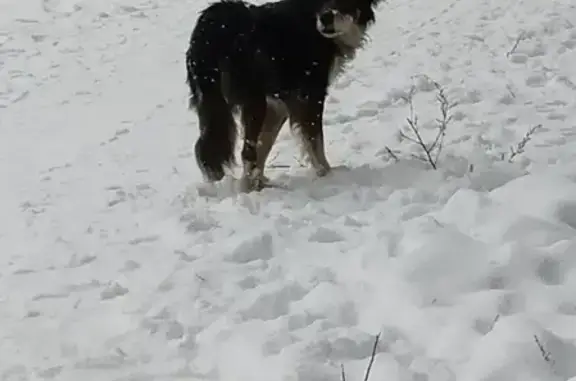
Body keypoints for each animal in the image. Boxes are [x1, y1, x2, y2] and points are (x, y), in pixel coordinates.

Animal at [186, 0, 382, 191]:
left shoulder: (278, 103)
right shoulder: (310, 96)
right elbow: (315, 140)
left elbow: (265, 144)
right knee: (245, 151)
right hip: (254, 101)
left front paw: (257, 181)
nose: (325, 17)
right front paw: (327, 174)